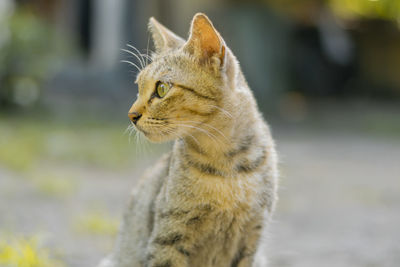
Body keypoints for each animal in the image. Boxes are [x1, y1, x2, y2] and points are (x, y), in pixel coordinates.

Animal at [98, 13, 278, 267]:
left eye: (162, 88)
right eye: (138, 87)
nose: (131, 115)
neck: (225, 163)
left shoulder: (251, 239)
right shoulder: (169, 237)